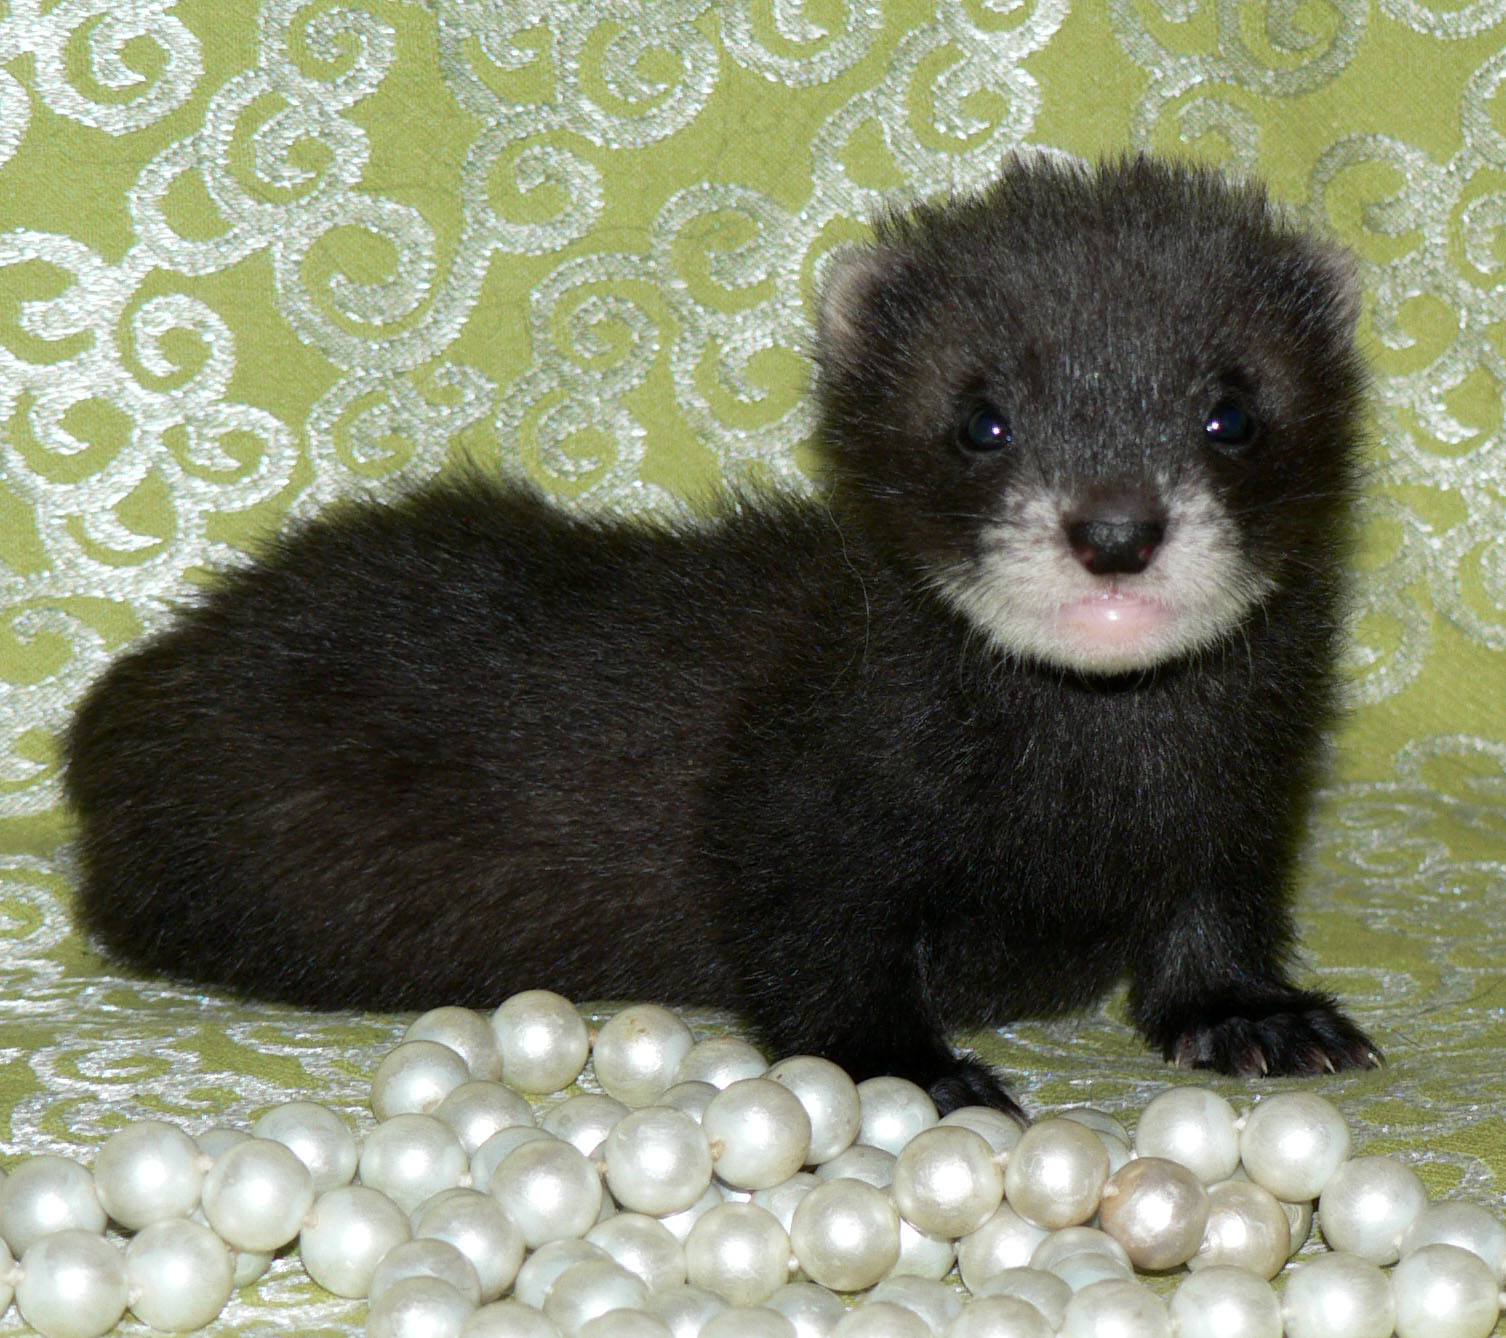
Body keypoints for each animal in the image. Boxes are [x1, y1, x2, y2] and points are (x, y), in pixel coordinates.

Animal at [65, 155, 1380, 1117]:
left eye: (1233, 410)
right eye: (980, 417)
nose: (1114, 530)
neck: (1087, 801)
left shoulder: (1247, 801)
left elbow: (1212, 925)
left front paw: (1259, 1019)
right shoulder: (799, 795)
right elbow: (814, 954)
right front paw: (918, 1072)